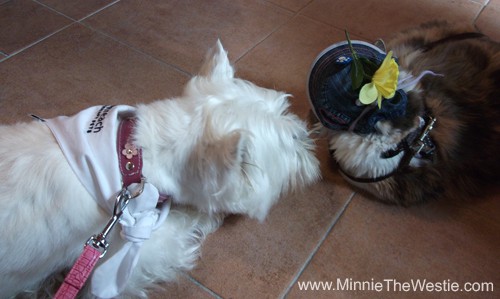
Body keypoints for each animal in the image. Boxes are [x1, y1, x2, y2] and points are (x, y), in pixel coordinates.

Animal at [0, 41, 320, 298]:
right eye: (291, 141)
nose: (307, 135)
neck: (130, 156)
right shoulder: (129, 253)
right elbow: (176, 230)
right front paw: (205, 215)